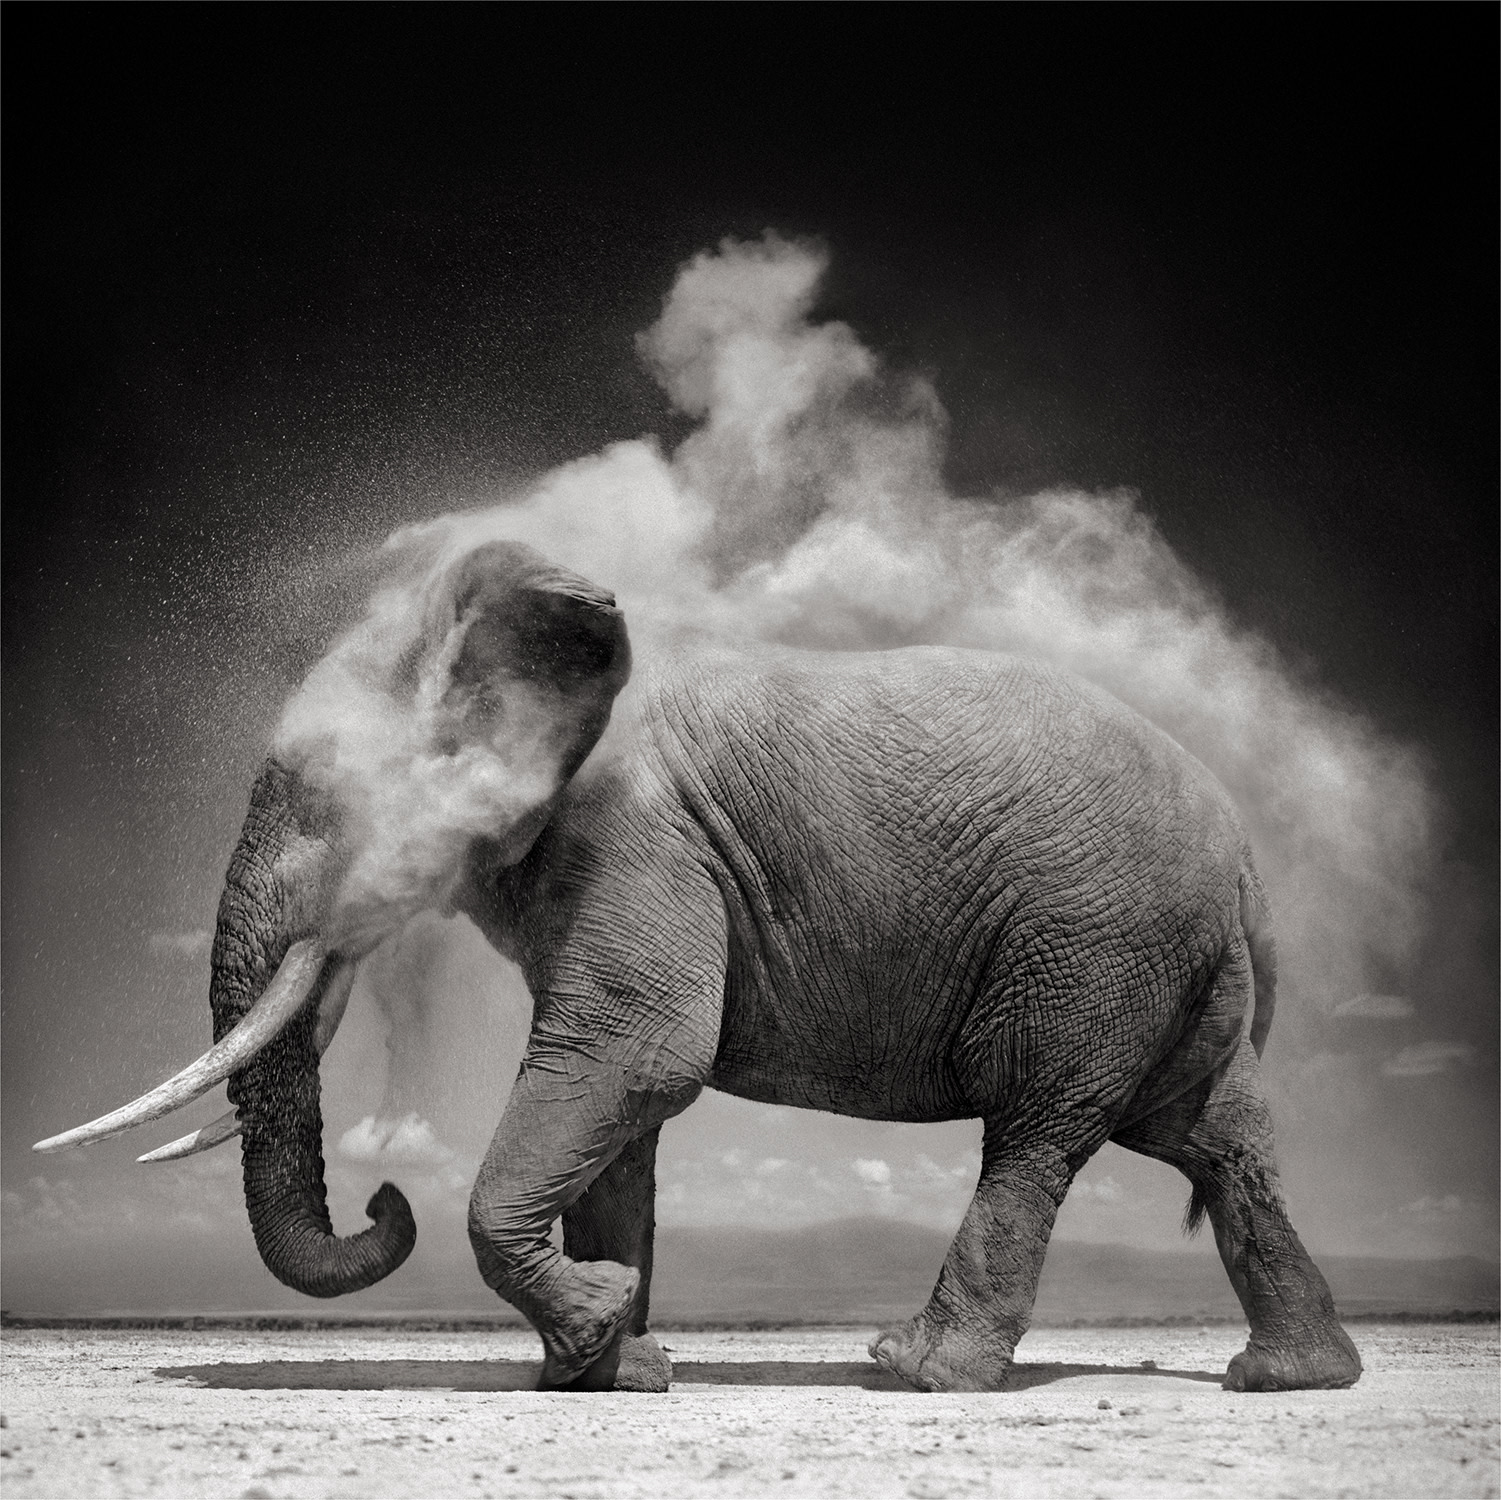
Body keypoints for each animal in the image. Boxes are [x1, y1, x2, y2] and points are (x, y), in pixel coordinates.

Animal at [37, 538, 1362, 1396]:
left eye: (322, 798)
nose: (382, 1200)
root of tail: (1247, 862)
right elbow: (622, 1115)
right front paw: (611, 1369)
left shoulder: (636, 838)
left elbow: (638, 1056)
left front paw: (595, 1334)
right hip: (1163, 964)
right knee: (1215, 1140)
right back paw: (1288, 1380)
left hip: (1092, 943)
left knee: (1038, 1133)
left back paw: (916, 1372)